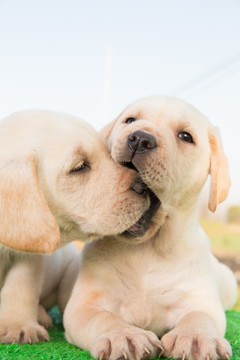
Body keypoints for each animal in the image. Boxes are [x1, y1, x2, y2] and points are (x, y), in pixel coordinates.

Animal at [0, 110, 150, 346]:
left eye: (107, 153)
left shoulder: (29, 254)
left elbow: (21, 286)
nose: (144, 187)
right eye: (79, 167)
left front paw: (18, 325)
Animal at [63, 96, 238, 360]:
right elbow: (103, 318)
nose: (139, 139)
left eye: (185, 136)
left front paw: (195, 337)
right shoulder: (83, 305)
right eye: (130, 121)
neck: (148, 248)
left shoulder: (201, 301)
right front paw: (123, 336)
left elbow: (199, 316)